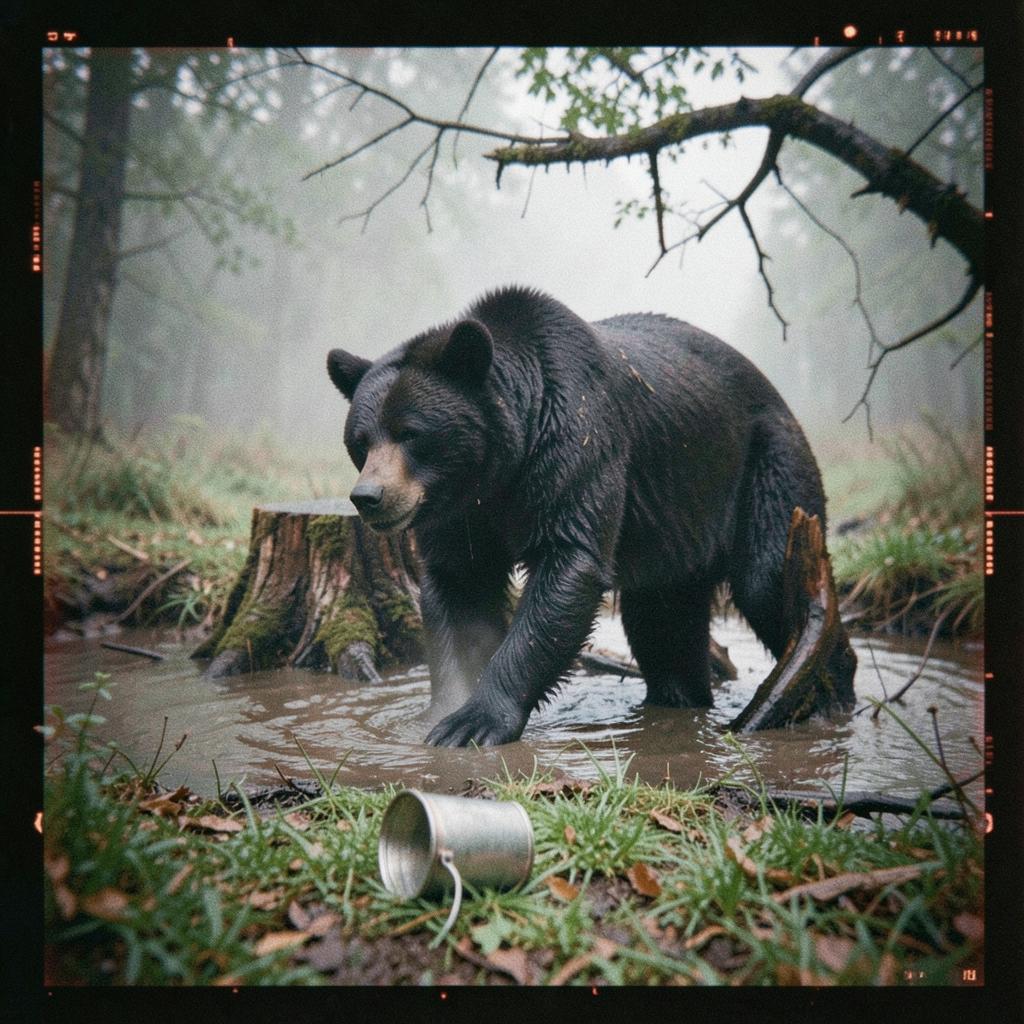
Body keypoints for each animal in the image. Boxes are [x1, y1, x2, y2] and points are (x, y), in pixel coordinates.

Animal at [327, 286, 845, 747]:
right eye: (361, 441)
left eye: (410, 433)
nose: (368, 497)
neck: (500, 470)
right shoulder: (463, 514)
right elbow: (458, 591)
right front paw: (443, 710)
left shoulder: (578, 446)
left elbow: (567, 567)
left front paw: (473, 722)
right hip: (674, 533)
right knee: (662, 625)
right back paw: (681, 697)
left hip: (762, 469)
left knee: (767, 578)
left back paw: (825, 694)